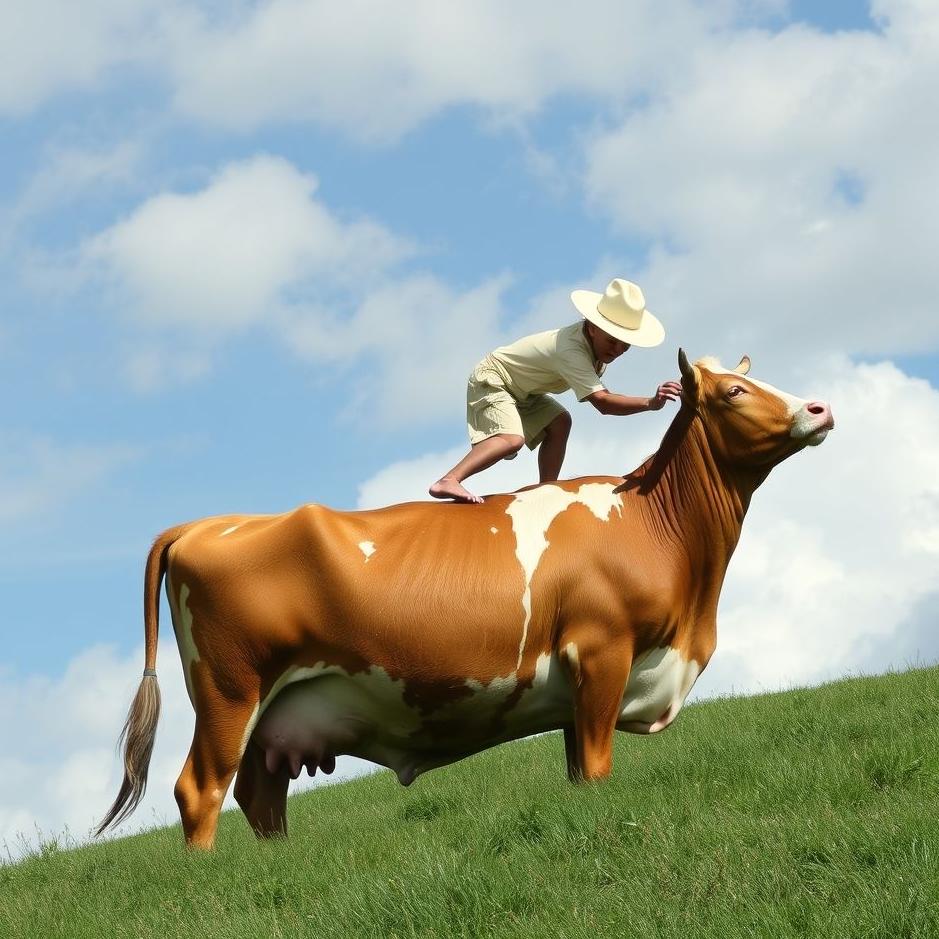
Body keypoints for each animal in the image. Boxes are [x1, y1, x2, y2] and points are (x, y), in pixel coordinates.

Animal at [97, 351, 833, 849]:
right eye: (735, 390)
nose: (819, 409)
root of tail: (204, 523)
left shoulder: (579, 685)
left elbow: (577, 769)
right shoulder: (601, 652)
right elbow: (597, 768)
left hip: (273, 714)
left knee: (258, 793)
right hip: (230, 690)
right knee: (200, 789)